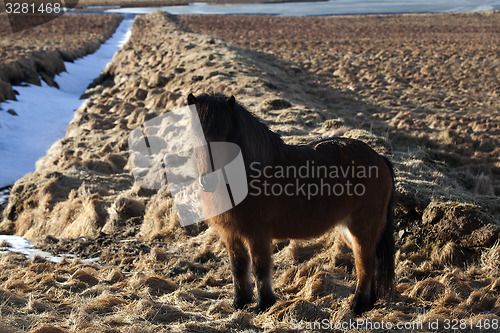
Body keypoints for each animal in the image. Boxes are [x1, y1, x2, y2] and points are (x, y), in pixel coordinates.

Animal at [188, 91, 394, 314]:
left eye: (226, 138)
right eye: (196, 136)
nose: (208, 181)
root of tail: (380, 158)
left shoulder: (257, 234)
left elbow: (260, 268)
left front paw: (264, 304)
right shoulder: (231, 234)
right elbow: (238, 267)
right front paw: (240, 302)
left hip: (362, 230)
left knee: (365, 265)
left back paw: (356, 306)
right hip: (350, 231)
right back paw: (367, 305)